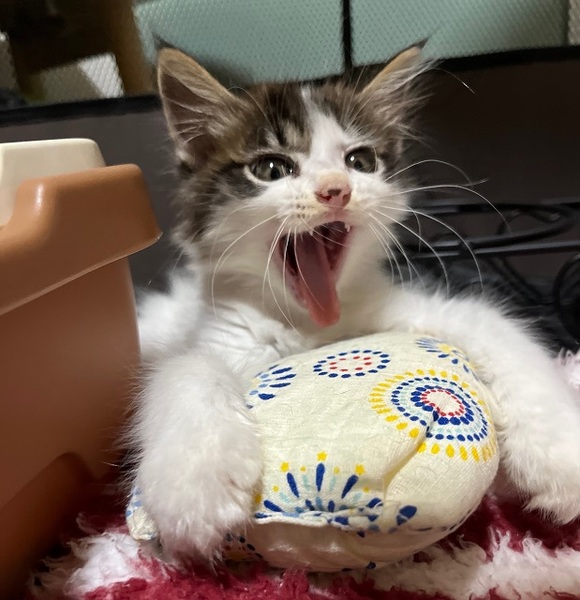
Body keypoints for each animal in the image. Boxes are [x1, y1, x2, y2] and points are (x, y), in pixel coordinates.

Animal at [132, 46, 580, 560]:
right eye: (271, 169)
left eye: (360, 161)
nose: (336, 190)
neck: (312, 324)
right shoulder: (219, 338)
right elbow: (186, 369)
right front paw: (194, 484)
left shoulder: (423, 311)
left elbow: (503, 334)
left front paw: (560, 457)